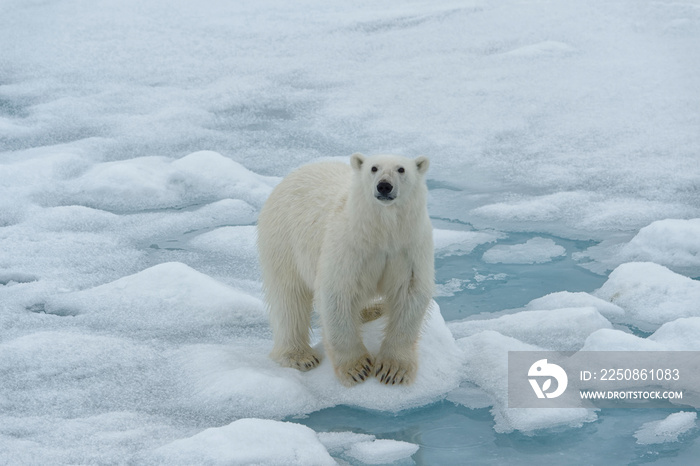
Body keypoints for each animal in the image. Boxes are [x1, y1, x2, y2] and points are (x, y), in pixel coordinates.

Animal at [258, 153, 432, 386]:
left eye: (401, 169)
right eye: (373, 168)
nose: (384, 186)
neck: (381, 232)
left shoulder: (409, 247)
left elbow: (410, 293)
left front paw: (393, 370)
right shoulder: (349, 245)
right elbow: (337, 293)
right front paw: (357, 368)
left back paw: (373, 310)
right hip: (283, 239)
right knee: (288, 297)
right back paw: (300, 356)